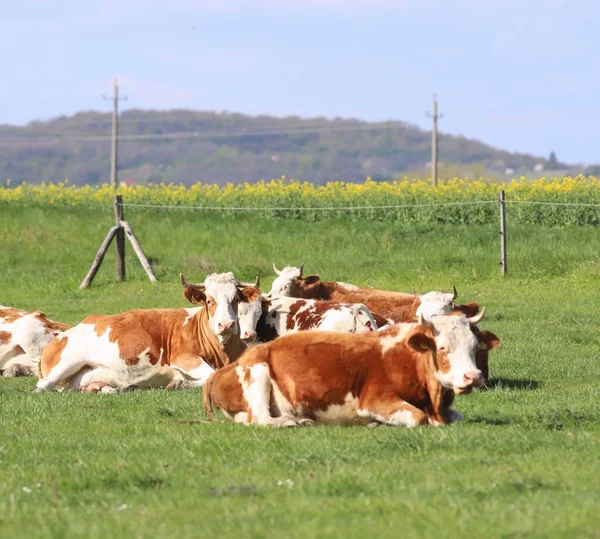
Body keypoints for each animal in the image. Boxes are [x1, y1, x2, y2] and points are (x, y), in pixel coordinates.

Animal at [35, 272, 260, 394]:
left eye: (236, 299)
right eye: (209, 300)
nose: (227, 324)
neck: (222, 352)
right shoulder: (184, 358)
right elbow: (211, 375)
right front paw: (178, 383)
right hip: (68, 362)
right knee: (43, 385)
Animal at [204, 308, 500, 430]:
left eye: (475, 345)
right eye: (442, 347)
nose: (473, 376)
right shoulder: (373, 400)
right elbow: (418, 418)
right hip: (258, 371)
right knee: (262, 419)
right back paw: (292, 421)